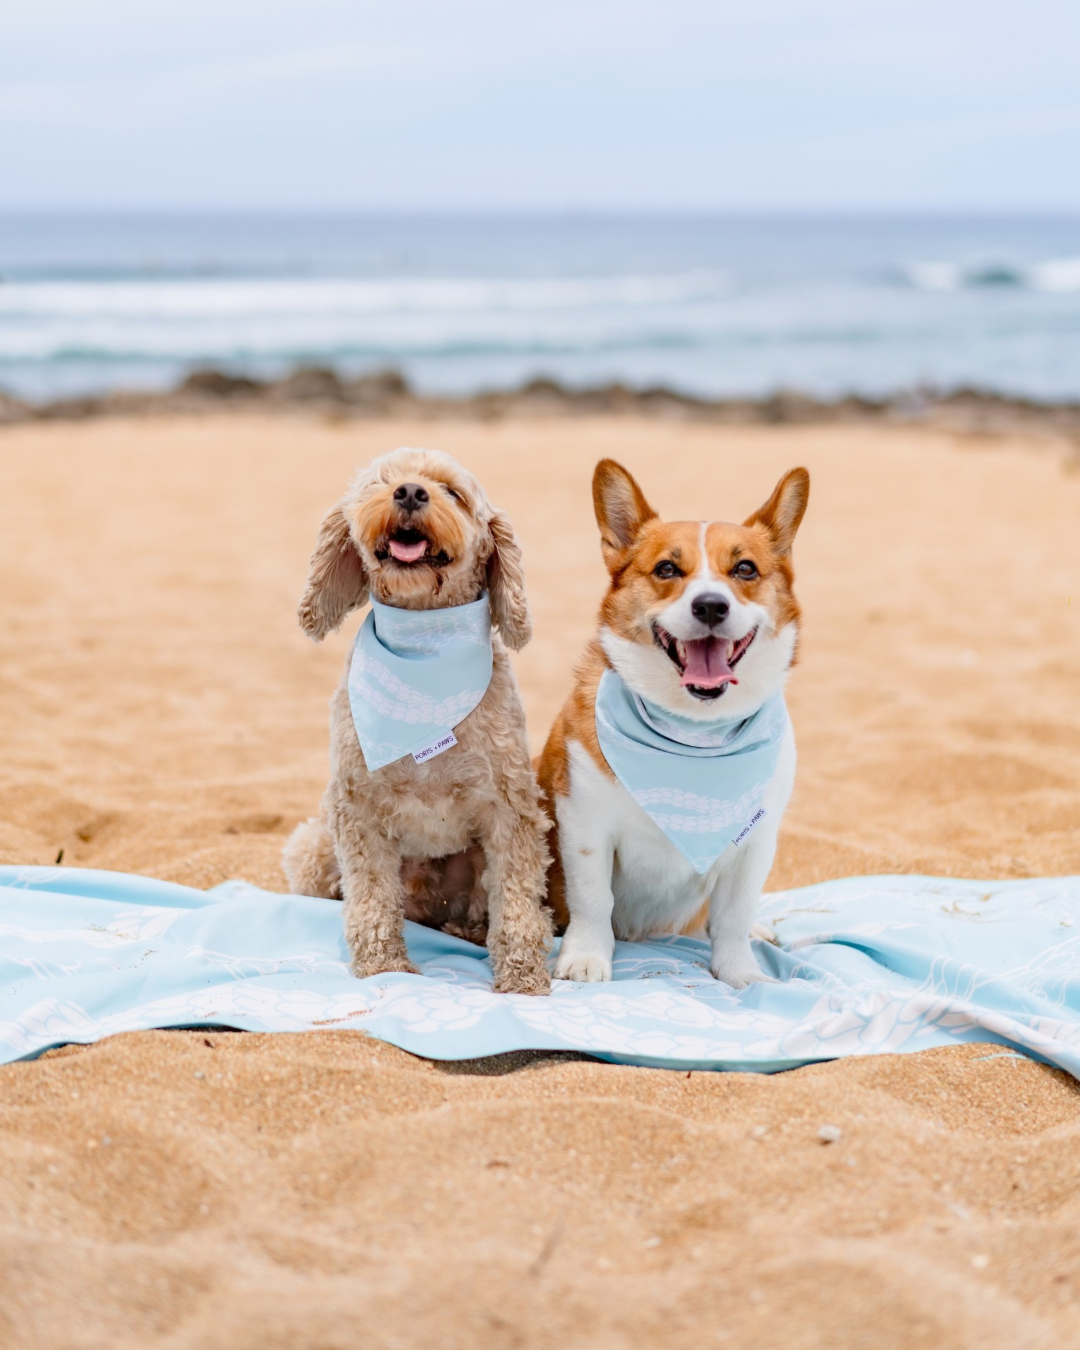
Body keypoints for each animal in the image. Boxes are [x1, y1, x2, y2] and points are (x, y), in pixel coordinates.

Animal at [284, 448, 553, 999]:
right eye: (378, 483)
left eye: (454, 492)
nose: (409, 491)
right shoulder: (356, 809)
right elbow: (370, 900)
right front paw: (384, 966)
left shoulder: (510, 808)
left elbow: (517, 901)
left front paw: (523, 979)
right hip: (312, 847)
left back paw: (467, 930)